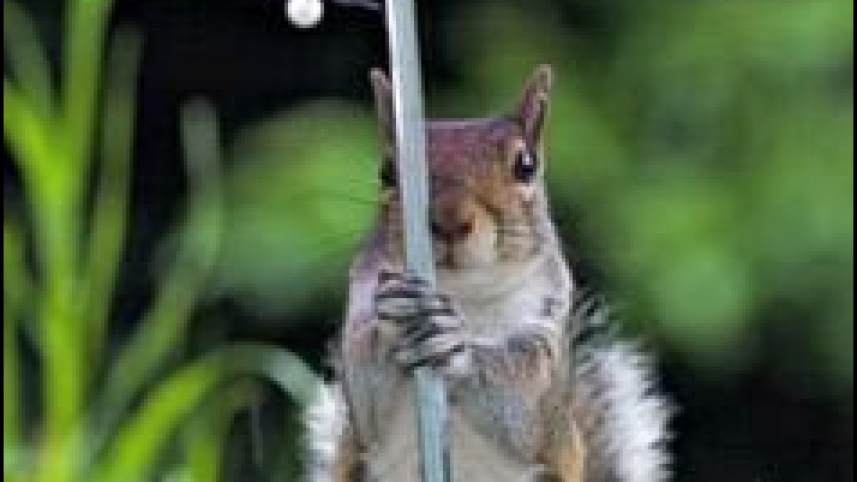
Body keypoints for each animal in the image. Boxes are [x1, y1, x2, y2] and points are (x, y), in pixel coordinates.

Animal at [304, 65, 672, 482]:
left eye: (526, 166)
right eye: (386, 172)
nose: (449, 221)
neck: (464, 296)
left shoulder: (543, 340)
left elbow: (520, 404)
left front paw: (454, 342)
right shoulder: (362, 302)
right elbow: (366, 400)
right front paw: (395, 321)